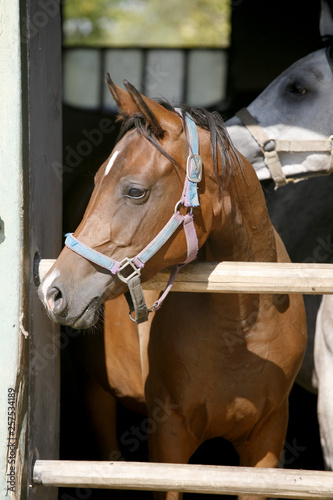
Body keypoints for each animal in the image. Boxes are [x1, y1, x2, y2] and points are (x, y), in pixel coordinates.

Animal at [39, 78, 306, 500]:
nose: (53, 290)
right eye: (98, 182)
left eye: (135, 191)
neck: (240, 331)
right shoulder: (168, 442)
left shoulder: (266, 444)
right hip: (96, 392)